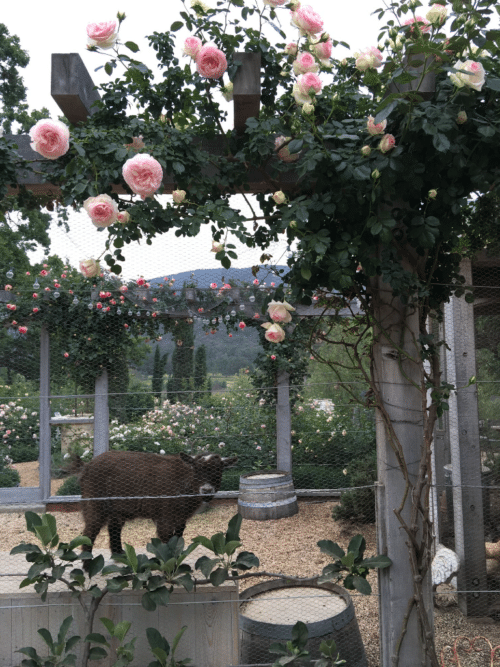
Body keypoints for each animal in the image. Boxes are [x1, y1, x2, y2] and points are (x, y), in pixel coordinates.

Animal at [78, 448, 238, 560]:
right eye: (197, 469)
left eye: (218, 471)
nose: (206, 490)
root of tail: (87, 466)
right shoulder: (164, 515)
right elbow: (167, 539)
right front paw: (169, 564)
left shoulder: (181, 517)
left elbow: (177, 538)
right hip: (94, 502)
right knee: (90, 530)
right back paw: (88, 563)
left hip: (117, 508)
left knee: (114, 528)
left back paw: (120, 554)